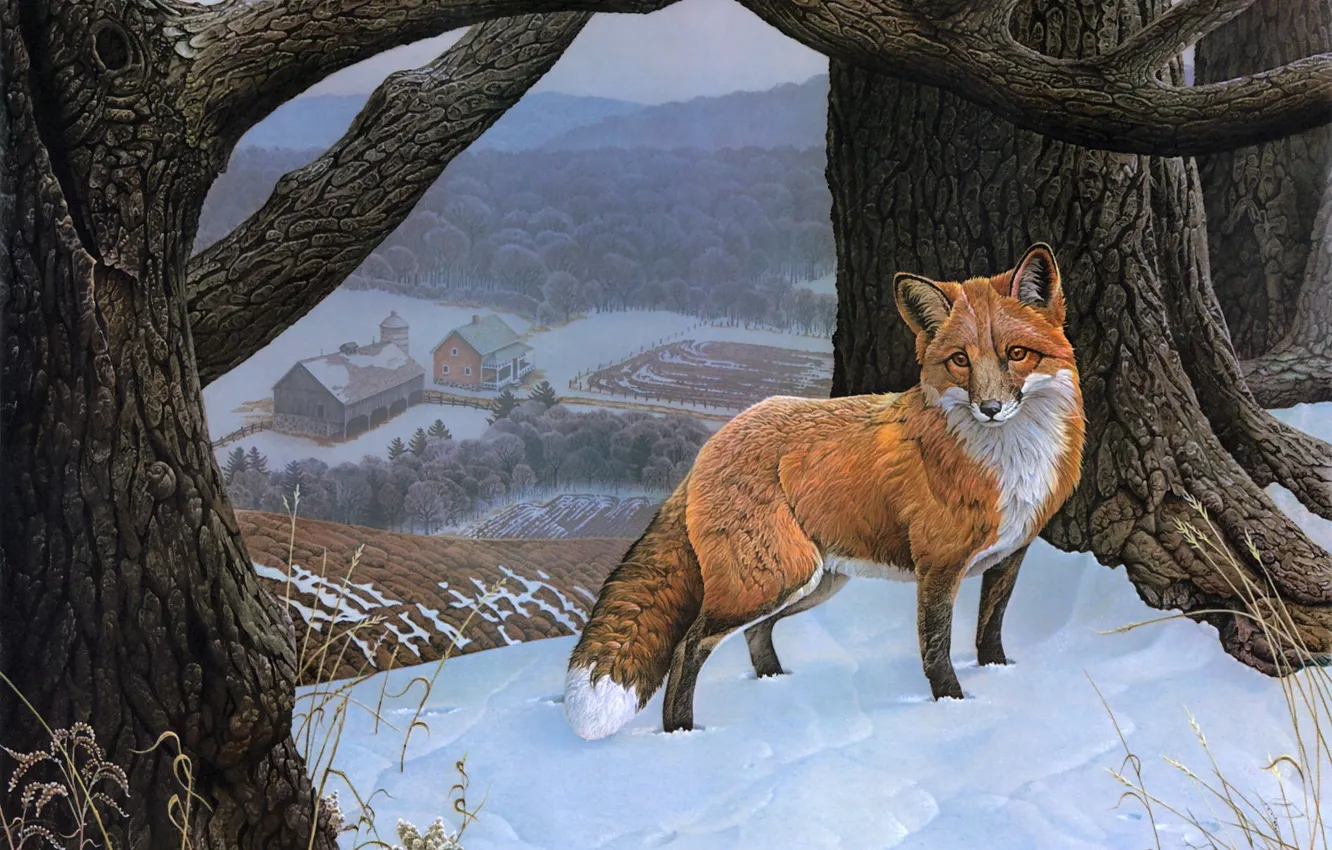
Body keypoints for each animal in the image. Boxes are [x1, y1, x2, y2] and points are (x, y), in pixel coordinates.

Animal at [563, 243, 1086, 740]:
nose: (991, 408)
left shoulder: (1009, 556)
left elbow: (989, 634)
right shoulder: (937, 567)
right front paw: (953, 708)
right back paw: (683, 734)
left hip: (813, 581)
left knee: (757, 635)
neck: (1010, 460)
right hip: (771, 579)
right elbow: (936, 650)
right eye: (960, 360)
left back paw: (778, 686)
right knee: (688, 645)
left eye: (1017, 354)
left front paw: (999, 678)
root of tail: (714, 442)